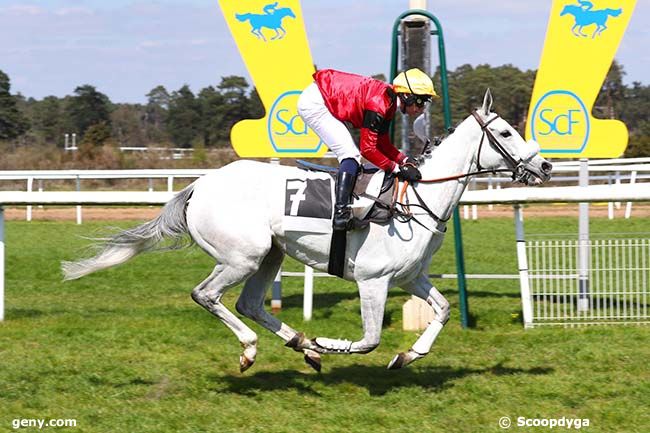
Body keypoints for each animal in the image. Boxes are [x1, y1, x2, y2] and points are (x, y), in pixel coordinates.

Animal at [60, 90, 548, 372]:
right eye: (506, 131)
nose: (544, 166)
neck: (415, 199)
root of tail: (198, 186)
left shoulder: (411, 277)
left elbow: (443, 311)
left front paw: (406, 355)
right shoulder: (373, 281)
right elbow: (368, 340)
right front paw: (331, 343)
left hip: (270, 254)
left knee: (249, 303)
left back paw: (302, 346)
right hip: (243, 255)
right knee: (208, 295)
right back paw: (257, 348)